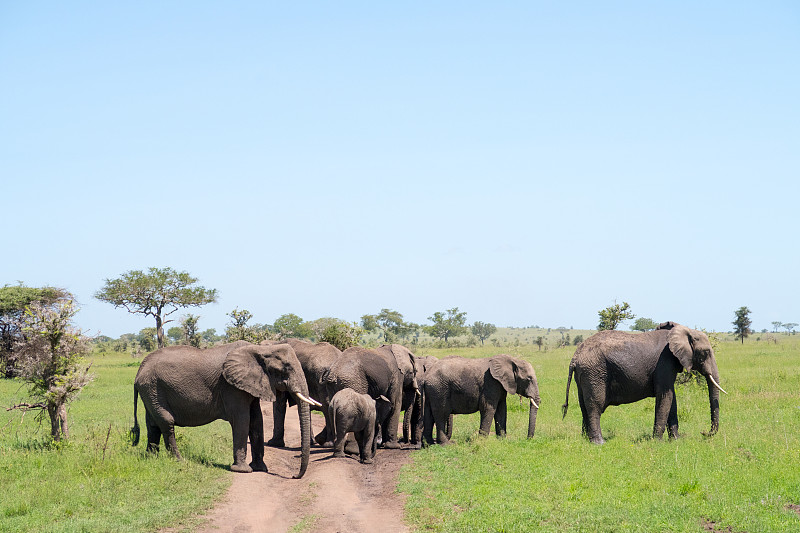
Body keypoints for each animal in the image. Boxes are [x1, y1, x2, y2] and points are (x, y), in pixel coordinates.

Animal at [133, 342, 318, 476]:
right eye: (286, 368)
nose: (294, 476)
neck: (261, 348)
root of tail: (139, 370)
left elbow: (256, 420)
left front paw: (260, 468)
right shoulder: (231, 387)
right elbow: (242, 419)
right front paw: (243, 470)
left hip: (151, 392)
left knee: (153, 424)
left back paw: (151, 458)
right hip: (153, 388)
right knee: (166, 421)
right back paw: (179, 461)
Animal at [560, 322, 728, 442]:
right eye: (706, 352)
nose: (704, 432)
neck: (683, 330)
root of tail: (575, 357)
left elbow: (671, 398)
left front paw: (676, 440)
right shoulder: (664, 362)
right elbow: (665, 397)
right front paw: (657, 442)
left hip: (584, 375)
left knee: (583, 406)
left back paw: (585, 439)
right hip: (595, 372)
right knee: (595, 406)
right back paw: (599, 442)